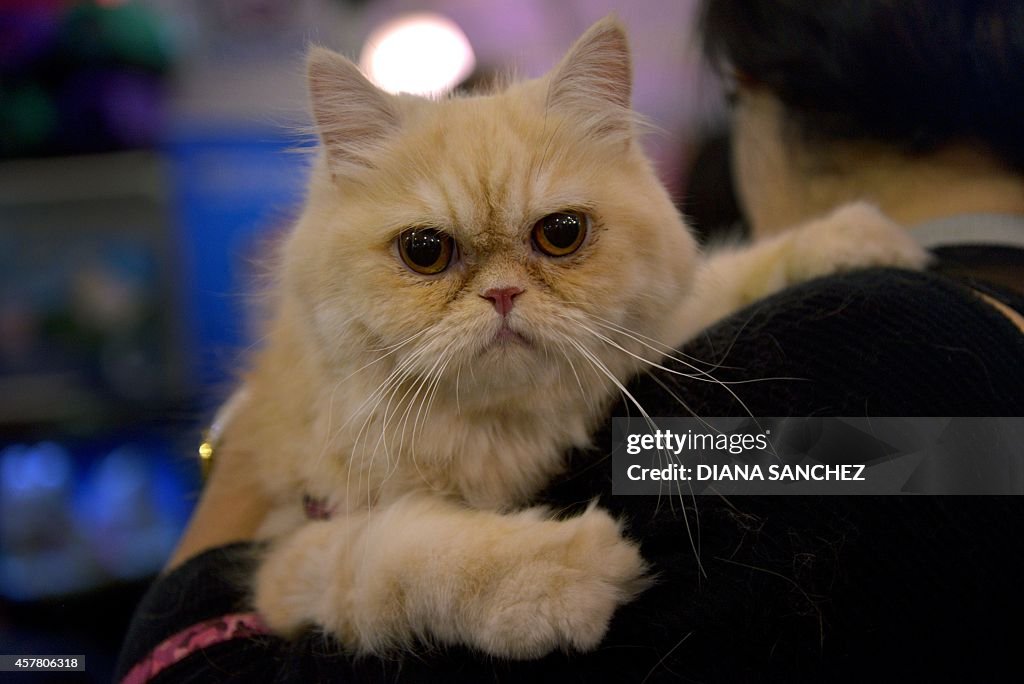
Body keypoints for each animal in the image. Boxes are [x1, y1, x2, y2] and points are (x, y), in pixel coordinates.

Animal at [216, 14, 929, 655]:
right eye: (425, 251)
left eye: (561, 234)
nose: (503, 295)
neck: (500, 433)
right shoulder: (295, 551)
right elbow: (409, 552)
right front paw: (561, 576)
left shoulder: (651, 334)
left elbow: (730, 279)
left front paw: (857, 240)